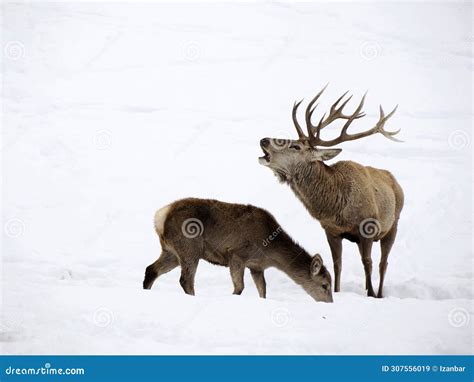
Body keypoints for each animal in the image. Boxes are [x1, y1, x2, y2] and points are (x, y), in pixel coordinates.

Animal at [144, 198, 334, 302]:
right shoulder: (237, 255)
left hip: (171, 252)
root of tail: (160, 217)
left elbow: (263, 290)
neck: (270, 252)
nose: (330, 303)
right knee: (185, 280)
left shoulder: (256, 267)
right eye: (324, 285)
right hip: (190, 248)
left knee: (151, 269)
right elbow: (240, 287)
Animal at [260, 86, 404, 298]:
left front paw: (371, 294)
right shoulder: (331, 230)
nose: (264, 140)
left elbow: (368, 263)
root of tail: (395, 181)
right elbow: (338, 264)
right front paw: (337, 291)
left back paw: (378, 293)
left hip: (393, 225)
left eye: (296, 146)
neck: (336, 206)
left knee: (382, 263)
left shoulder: (368, 228)